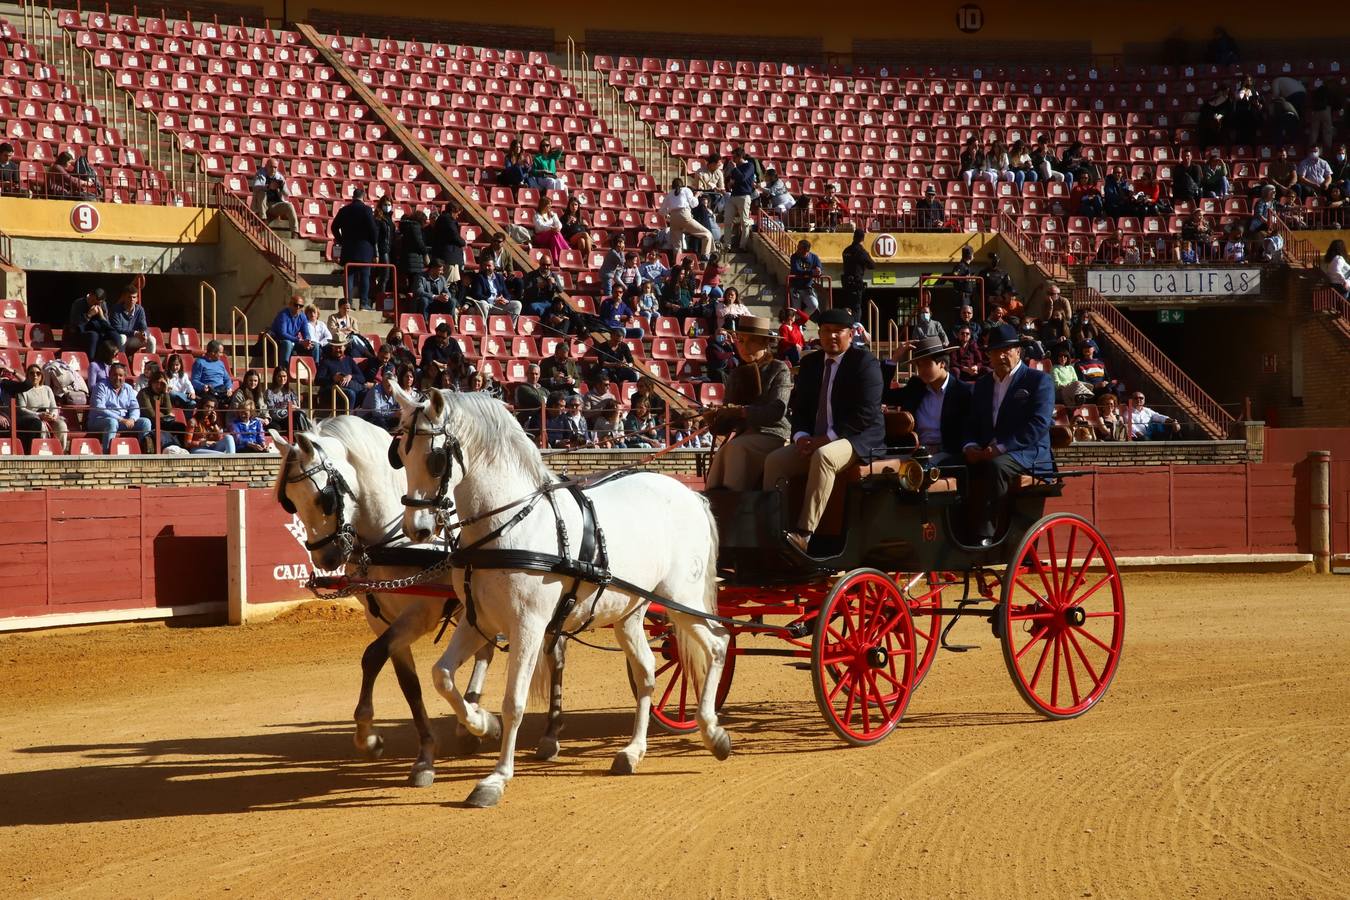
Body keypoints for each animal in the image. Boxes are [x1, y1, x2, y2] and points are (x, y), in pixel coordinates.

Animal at [268, 418, 569, 788]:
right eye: (289, 503)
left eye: (323, 497)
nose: (327, 558)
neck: (392, 540)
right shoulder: (381, 620)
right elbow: (408, 685)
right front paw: (423, 755)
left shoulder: (420, 614)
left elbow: (372, 656)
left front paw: (369, 738)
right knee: (485, 652)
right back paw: (472, 719)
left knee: (554, 655)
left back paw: (549, 734)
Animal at [386, 388, 734, 809]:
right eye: (399, 455)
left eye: (435, 459)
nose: (417, 529)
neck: (508, 526)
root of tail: (689, 494)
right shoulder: (476, 620)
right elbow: (442, 677)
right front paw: (482, 723)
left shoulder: (529, 626)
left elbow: (515, 701)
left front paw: (496, 778)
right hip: (631, 613)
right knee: (648, 672)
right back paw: (633, 752)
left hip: (682, 599)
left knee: (717, 645)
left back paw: (713, 733)